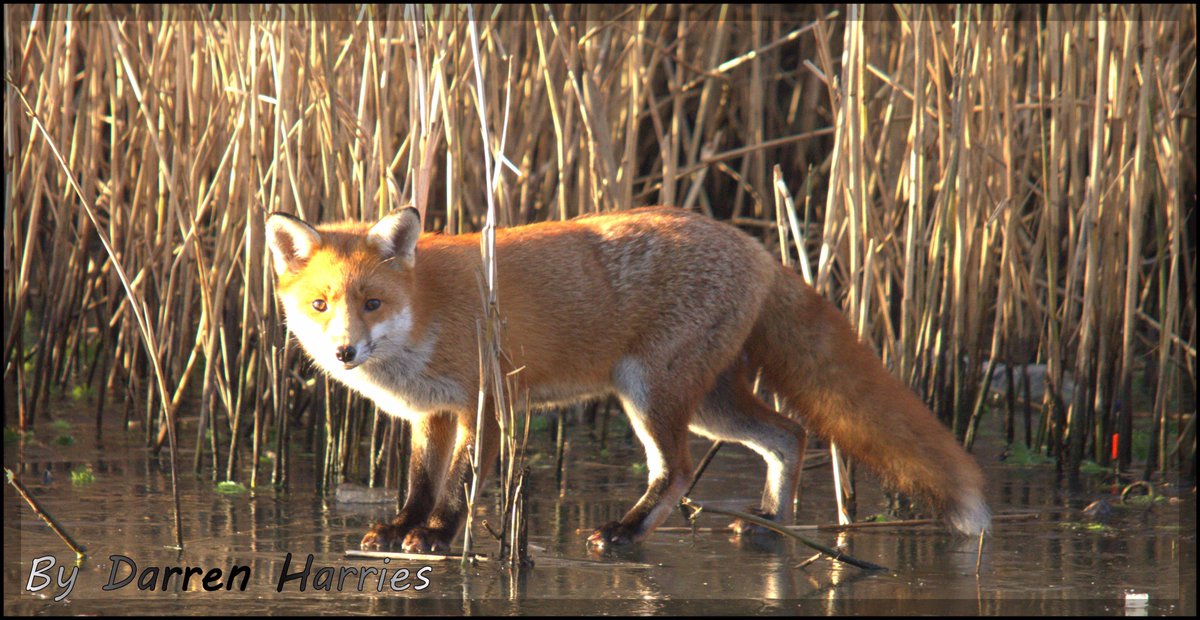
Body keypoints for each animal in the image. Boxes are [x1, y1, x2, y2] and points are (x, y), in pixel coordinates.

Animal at [266, 204, 990, 552]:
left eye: (372, 303)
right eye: (322, 304)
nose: (345, 352)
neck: (428, 313)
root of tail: (756, 246)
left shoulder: (489, 405)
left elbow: (460, 487)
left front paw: (438, 536)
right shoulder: (432, 415)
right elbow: (420, 484)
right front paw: (400, 530)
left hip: (651, 395)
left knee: (678, 471)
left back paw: (627, 531)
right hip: (711, 402)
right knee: (788, 435)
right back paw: (766, 521)